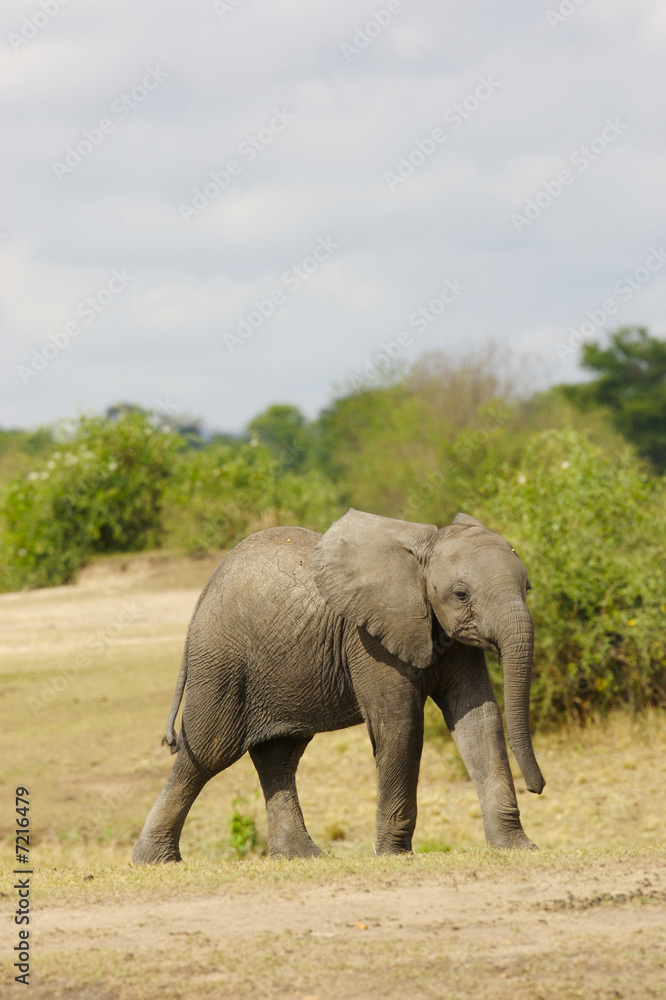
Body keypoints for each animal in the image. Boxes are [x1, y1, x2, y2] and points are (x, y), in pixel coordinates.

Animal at [132, 512, 544, 864]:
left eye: (527, 587)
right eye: (461, 594)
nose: (537, 788)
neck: (421, 553)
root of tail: (202, 597)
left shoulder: (452, 639)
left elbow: (480, 720)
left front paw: (517, 847)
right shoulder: (369, 640)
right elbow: (400, 726)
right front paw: (393, 854)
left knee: (278, 756)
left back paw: (301, 856)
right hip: (221, 662)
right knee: (207, 751)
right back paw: (154, 859)